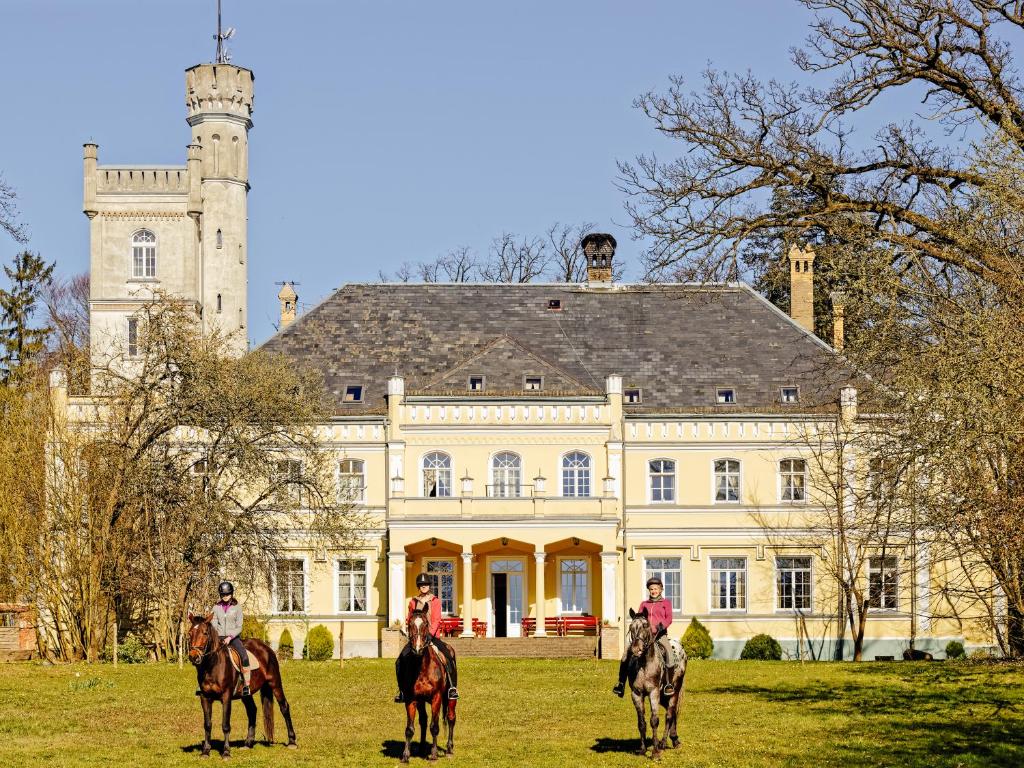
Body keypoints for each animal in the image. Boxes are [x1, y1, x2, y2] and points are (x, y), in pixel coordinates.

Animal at [186, 614, 296, 757]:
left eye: (205, 633)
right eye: (190, 633)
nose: (194, 657)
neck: (212, 666)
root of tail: (266, 648)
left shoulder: (226, 697)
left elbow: (225, 724)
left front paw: (226, 752)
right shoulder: (204, 697)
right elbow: (207, 724)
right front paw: (205, 751)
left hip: (275, 682)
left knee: (284, 707)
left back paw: (292, 741)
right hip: (246, 693)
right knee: (252, 710)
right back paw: (248, 743)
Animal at [397, 606, 458, 765]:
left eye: (425, 624)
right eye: (410, 623)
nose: (417, 649)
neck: (421, 666)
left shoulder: (437, 698)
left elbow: (434, 727)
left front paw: (434, 754)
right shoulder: (411, 699)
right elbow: (410, 728)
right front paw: (406, 755)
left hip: (450, 697)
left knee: (451, 717)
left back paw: (449, 748)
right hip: (421, 701)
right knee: (423, 721)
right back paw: (422, 748)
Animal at [622, 610, 688, 761]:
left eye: (645, 625)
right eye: (631, 627)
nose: (636, 649)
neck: (644, 664)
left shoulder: (654, 692)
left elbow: (654, 720)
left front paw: (656, 752)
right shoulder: (636, 694)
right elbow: (641, 722)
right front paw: (642, 749)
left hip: (674, 690)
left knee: (669, 714)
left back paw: (663, 743)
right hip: (664, 697)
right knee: (672, 712)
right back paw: (674, 739)